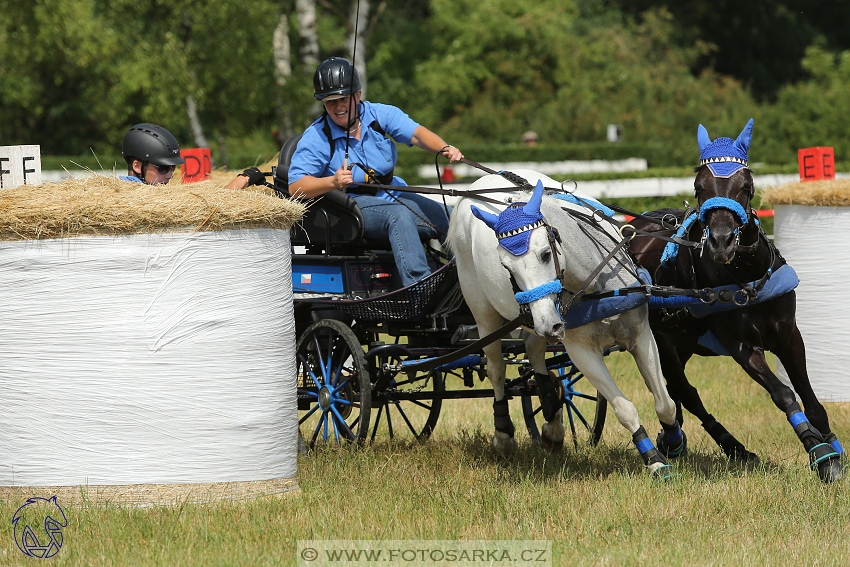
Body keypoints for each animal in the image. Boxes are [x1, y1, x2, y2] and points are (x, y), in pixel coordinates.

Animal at [450, 171, 684, 478]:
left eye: (545, 254)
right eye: (507, 268)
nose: (550, 325)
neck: (596, 288)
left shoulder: (641, 335)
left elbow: (665, 403)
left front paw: (673, 441)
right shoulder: (582, 352)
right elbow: (624, 408)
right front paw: (655, 460)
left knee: (534, 351)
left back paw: (552, 419)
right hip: (486, 310)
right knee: (496, 367)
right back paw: (503, 433)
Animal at [628, 121, 844, 484]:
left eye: (746, 185)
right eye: (699, 186)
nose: (721, 240)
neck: (749, 276)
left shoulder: (789, 335)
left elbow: (810, 397)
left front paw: (833, 448)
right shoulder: (741, 346)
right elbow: (784, 394)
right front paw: (819, 451)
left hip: (683, 341)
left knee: (674, 389)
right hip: (658, 339)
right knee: (685, 391)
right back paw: (724, 445)